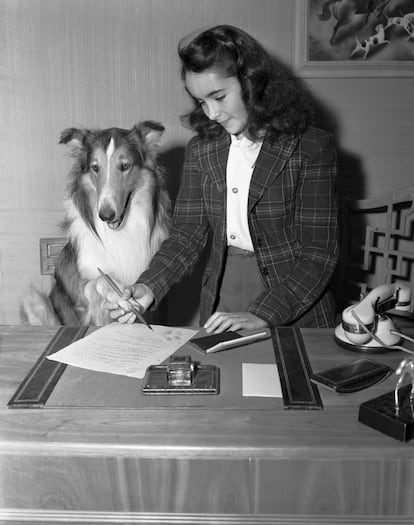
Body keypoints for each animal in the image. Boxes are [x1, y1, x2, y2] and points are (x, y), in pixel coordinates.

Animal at [23, 120, 171, 324]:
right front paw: (119, 295)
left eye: (125, 165)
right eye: (95, 167)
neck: (120, 233)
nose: (106, 215)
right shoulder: (83, 295)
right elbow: (101, 280)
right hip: (36, 300)